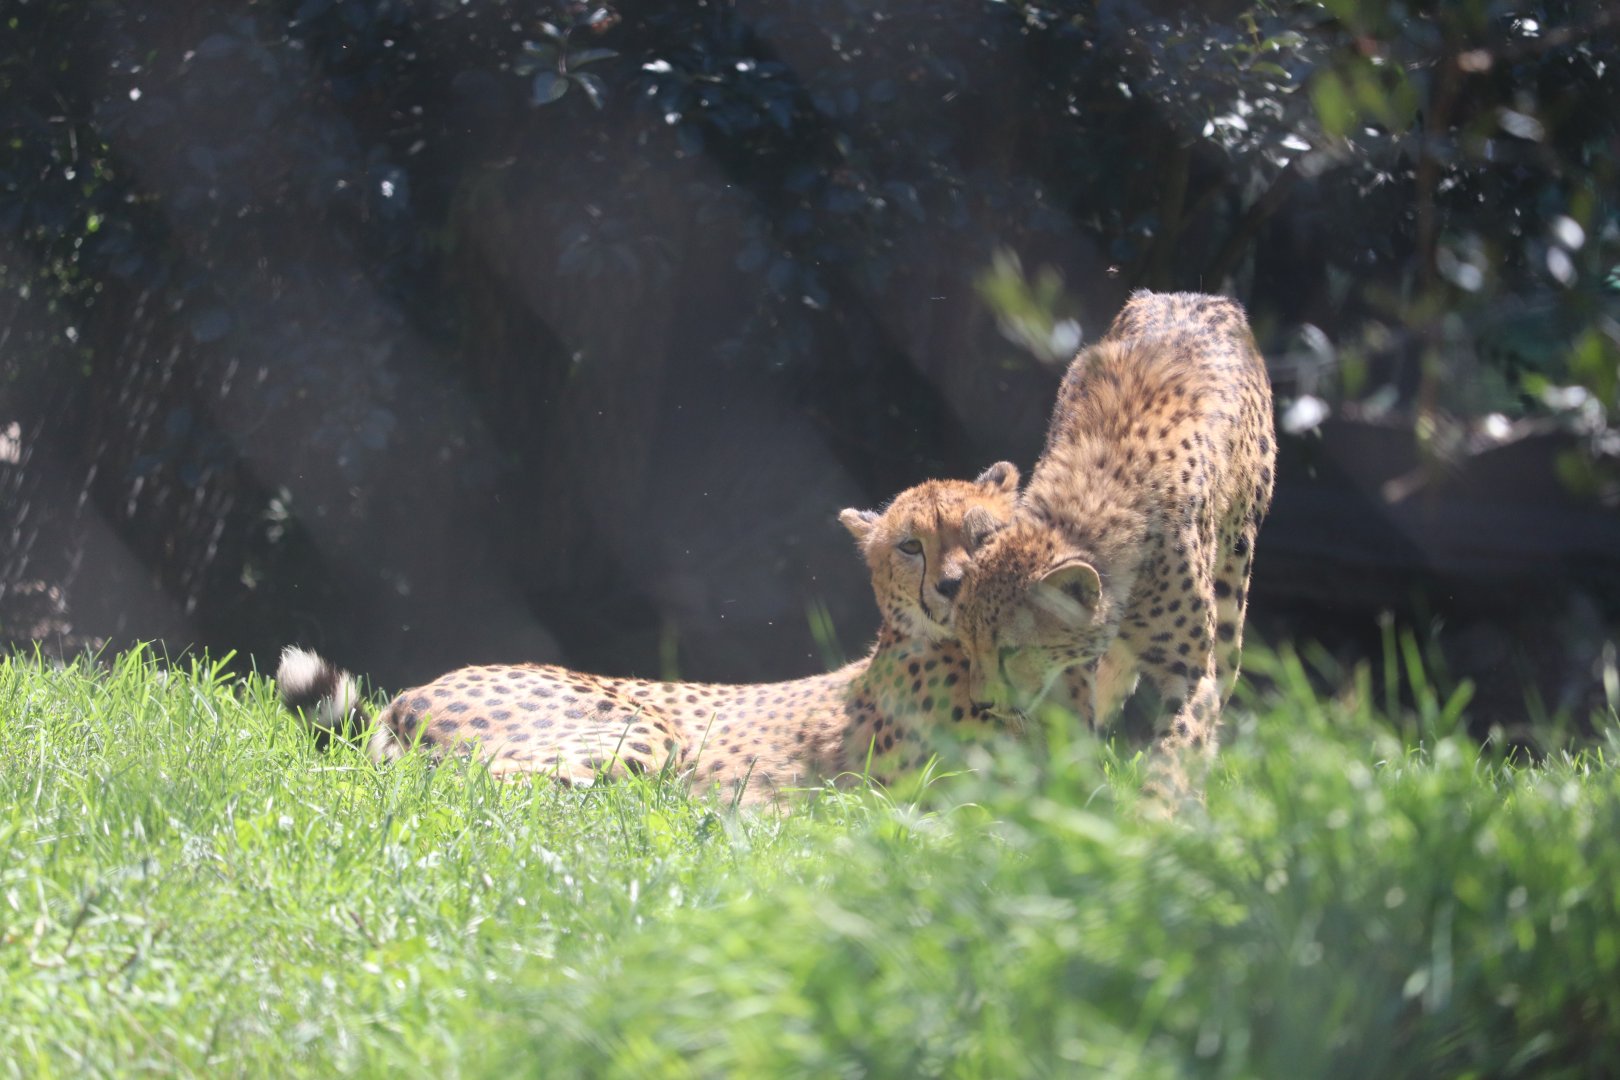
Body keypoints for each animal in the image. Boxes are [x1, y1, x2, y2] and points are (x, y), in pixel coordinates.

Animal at [276, 466, 1024, 806]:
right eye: (909, 546)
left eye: (981, 534)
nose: (953, 586)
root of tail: (411, 693)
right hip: (636, 730)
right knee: (484, 788)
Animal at [952, 290, 1276, 800]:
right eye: (965, 642)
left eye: (1010, 650)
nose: (983, 703)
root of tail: (1194, 295)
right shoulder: (1070, 667)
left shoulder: (1191, 673)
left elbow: (1176, 752)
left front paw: (1154, 811)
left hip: (1233, 587)